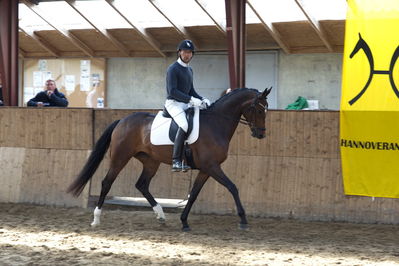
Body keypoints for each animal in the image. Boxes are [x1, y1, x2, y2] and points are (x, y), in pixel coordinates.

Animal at [68, 87, 272, 231]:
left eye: (266, 110)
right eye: (258, 110)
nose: (260, 134)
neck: (216, 123)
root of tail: (122, 121)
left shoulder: (206, 169)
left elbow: (194, 194)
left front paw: (184, 222)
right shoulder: (212, 166)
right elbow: (232, 187)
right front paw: (243, 220)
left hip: (151, 161)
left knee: (142, 184)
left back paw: (160, 215)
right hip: (120, 158)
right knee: (107, 183)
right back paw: (96, 219)